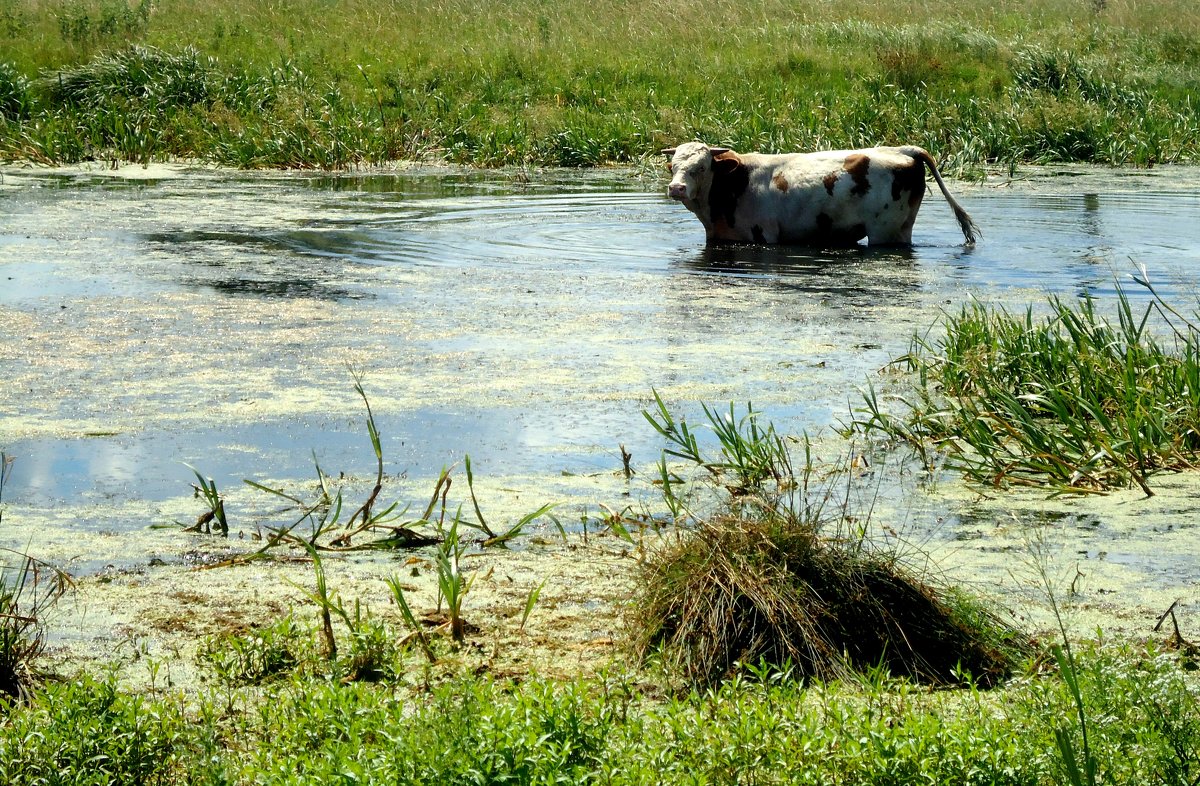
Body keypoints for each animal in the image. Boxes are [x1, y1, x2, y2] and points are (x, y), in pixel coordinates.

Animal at [662, 141, 979, 246]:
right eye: (673, 166)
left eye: (701, 167)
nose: (676, 188)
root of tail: (903, 149)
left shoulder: (763, 237)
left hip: (884, 233)